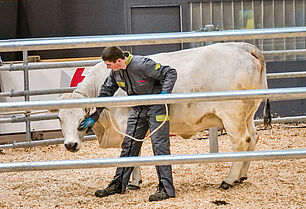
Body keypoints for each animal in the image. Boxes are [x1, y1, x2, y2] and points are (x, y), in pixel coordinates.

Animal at [56, 42, 270, 189]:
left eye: (81, 119)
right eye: (60, 118)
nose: (70, 145)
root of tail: (243, 47)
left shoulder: (127, 124)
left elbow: (132, 152)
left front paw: (133, 182)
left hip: (232, 115)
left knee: (242, 141)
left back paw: (229, 180)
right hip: (248, 113)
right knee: (253, 138)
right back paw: (241, 175)